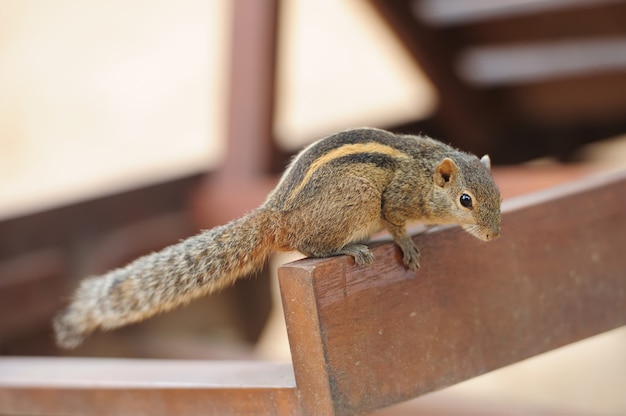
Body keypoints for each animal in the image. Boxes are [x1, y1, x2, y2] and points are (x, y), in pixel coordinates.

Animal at [54, 127, 502, 348]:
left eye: (498, 194)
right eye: (465, 200)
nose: (493, 235)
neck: (426, 174)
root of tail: (276, 217)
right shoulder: (394, 198)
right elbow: (394, 222)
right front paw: (408, 244)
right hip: (355, 200)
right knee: (310, 246)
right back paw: (352, 247)